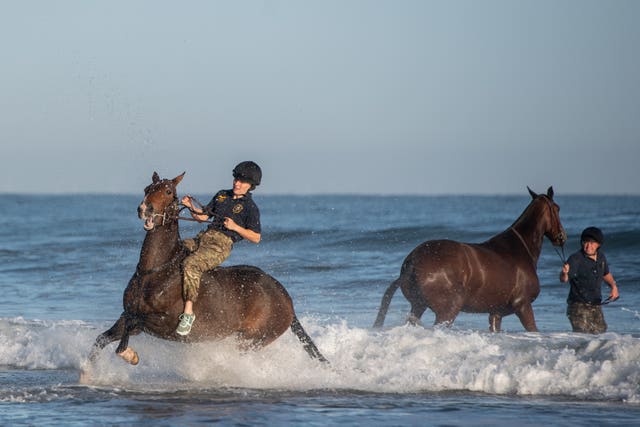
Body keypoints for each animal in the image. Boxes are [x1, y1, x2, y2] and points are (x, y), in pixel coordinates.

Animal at [87, 172, 328, 366]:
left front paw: (130, 356)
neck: (154, 272)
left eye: (168, 191)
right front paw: (88, 375)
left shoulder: (162, 322)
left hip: (252, 339)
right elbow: (104, 338)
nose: (144, 210)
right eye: (147, 189)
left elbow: (131, 327)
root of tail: (286, 299)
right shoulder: (128, 313)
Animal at [372, 188, 568, 334]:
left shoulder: (496, 313)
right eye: (557, 208)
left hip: (418, 306)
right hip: (447, 311)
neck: (520, 249)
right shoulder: (523, 306)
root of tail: (413, 262)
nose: (562, 237)